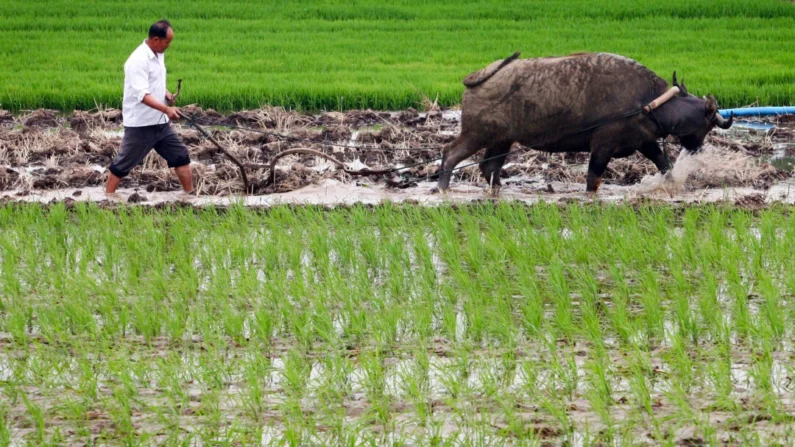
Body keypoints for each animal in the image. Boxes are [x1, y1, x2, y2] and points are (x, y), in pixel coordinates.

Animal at [436, 52, 732, 192]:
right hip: (477, 134)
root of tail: (477, 77)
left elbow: (665, 166)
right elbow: (593, 178)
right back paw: (442, 187)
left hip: (502, 140)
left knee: (490, 167)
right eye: (708, 124)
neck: (646, 102)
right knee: (450, 154)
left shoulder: (644, 142)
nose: (696, 149)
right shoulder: (602, 146)